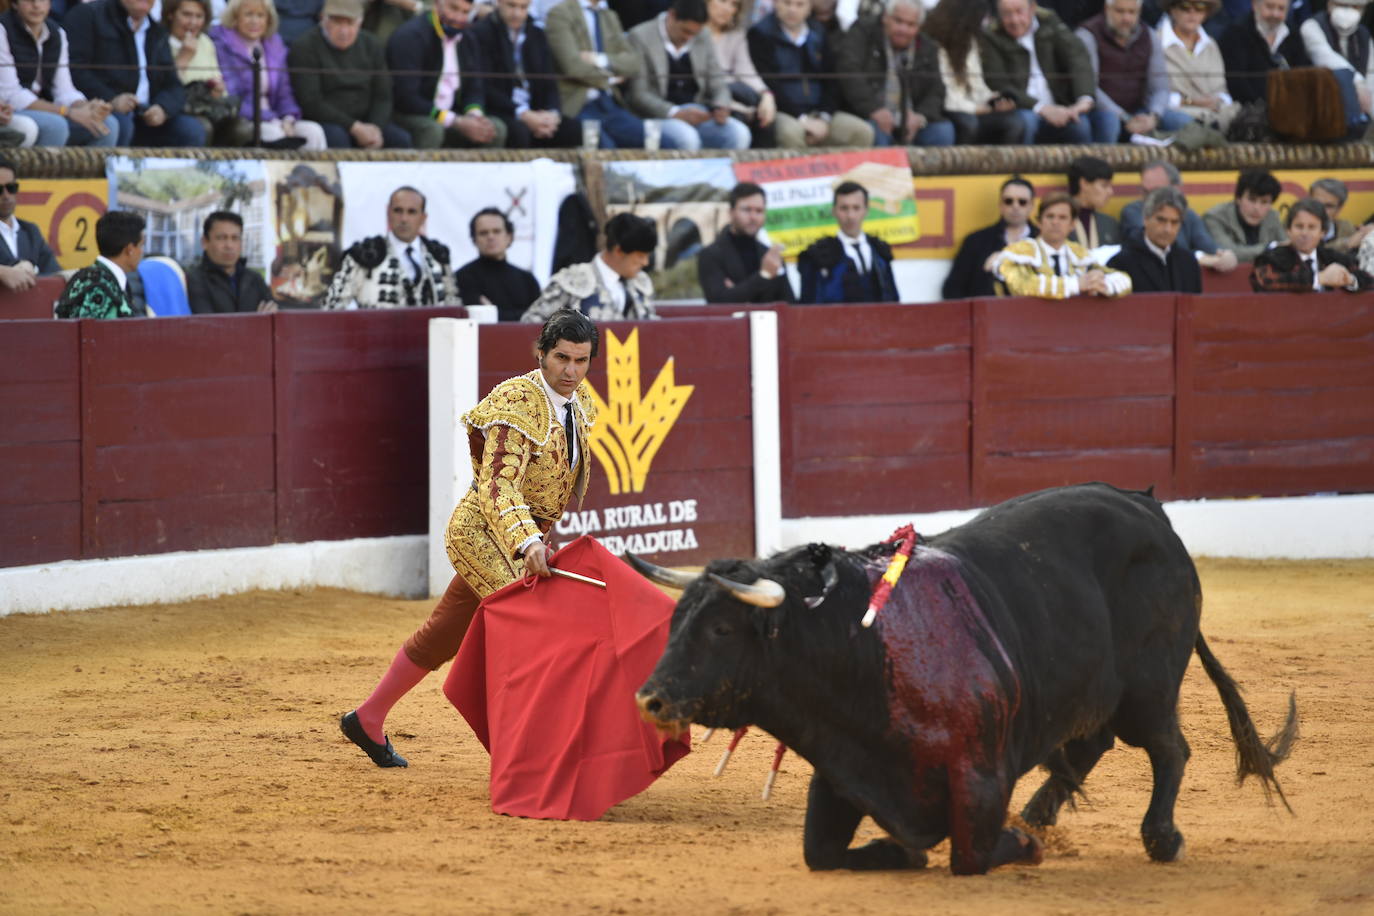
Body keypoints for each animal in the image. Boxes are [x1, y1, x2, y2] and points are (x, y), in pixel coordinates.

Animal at [629, 483, 1291, 878]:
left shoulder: (978, 776)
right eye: (675, 620)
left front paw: (1016, 846)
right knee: (1090, 744)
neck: (857, 645)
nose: (650, 699)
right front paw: (902, 849)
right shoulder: (843, 769)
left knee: (1168, 749)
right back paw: (1038, 815)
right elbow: (822, 852)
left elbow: (969, 854)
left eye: (720, 629)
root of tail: (1146, 506)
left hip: (1148, 690)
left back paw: (1159, 838)